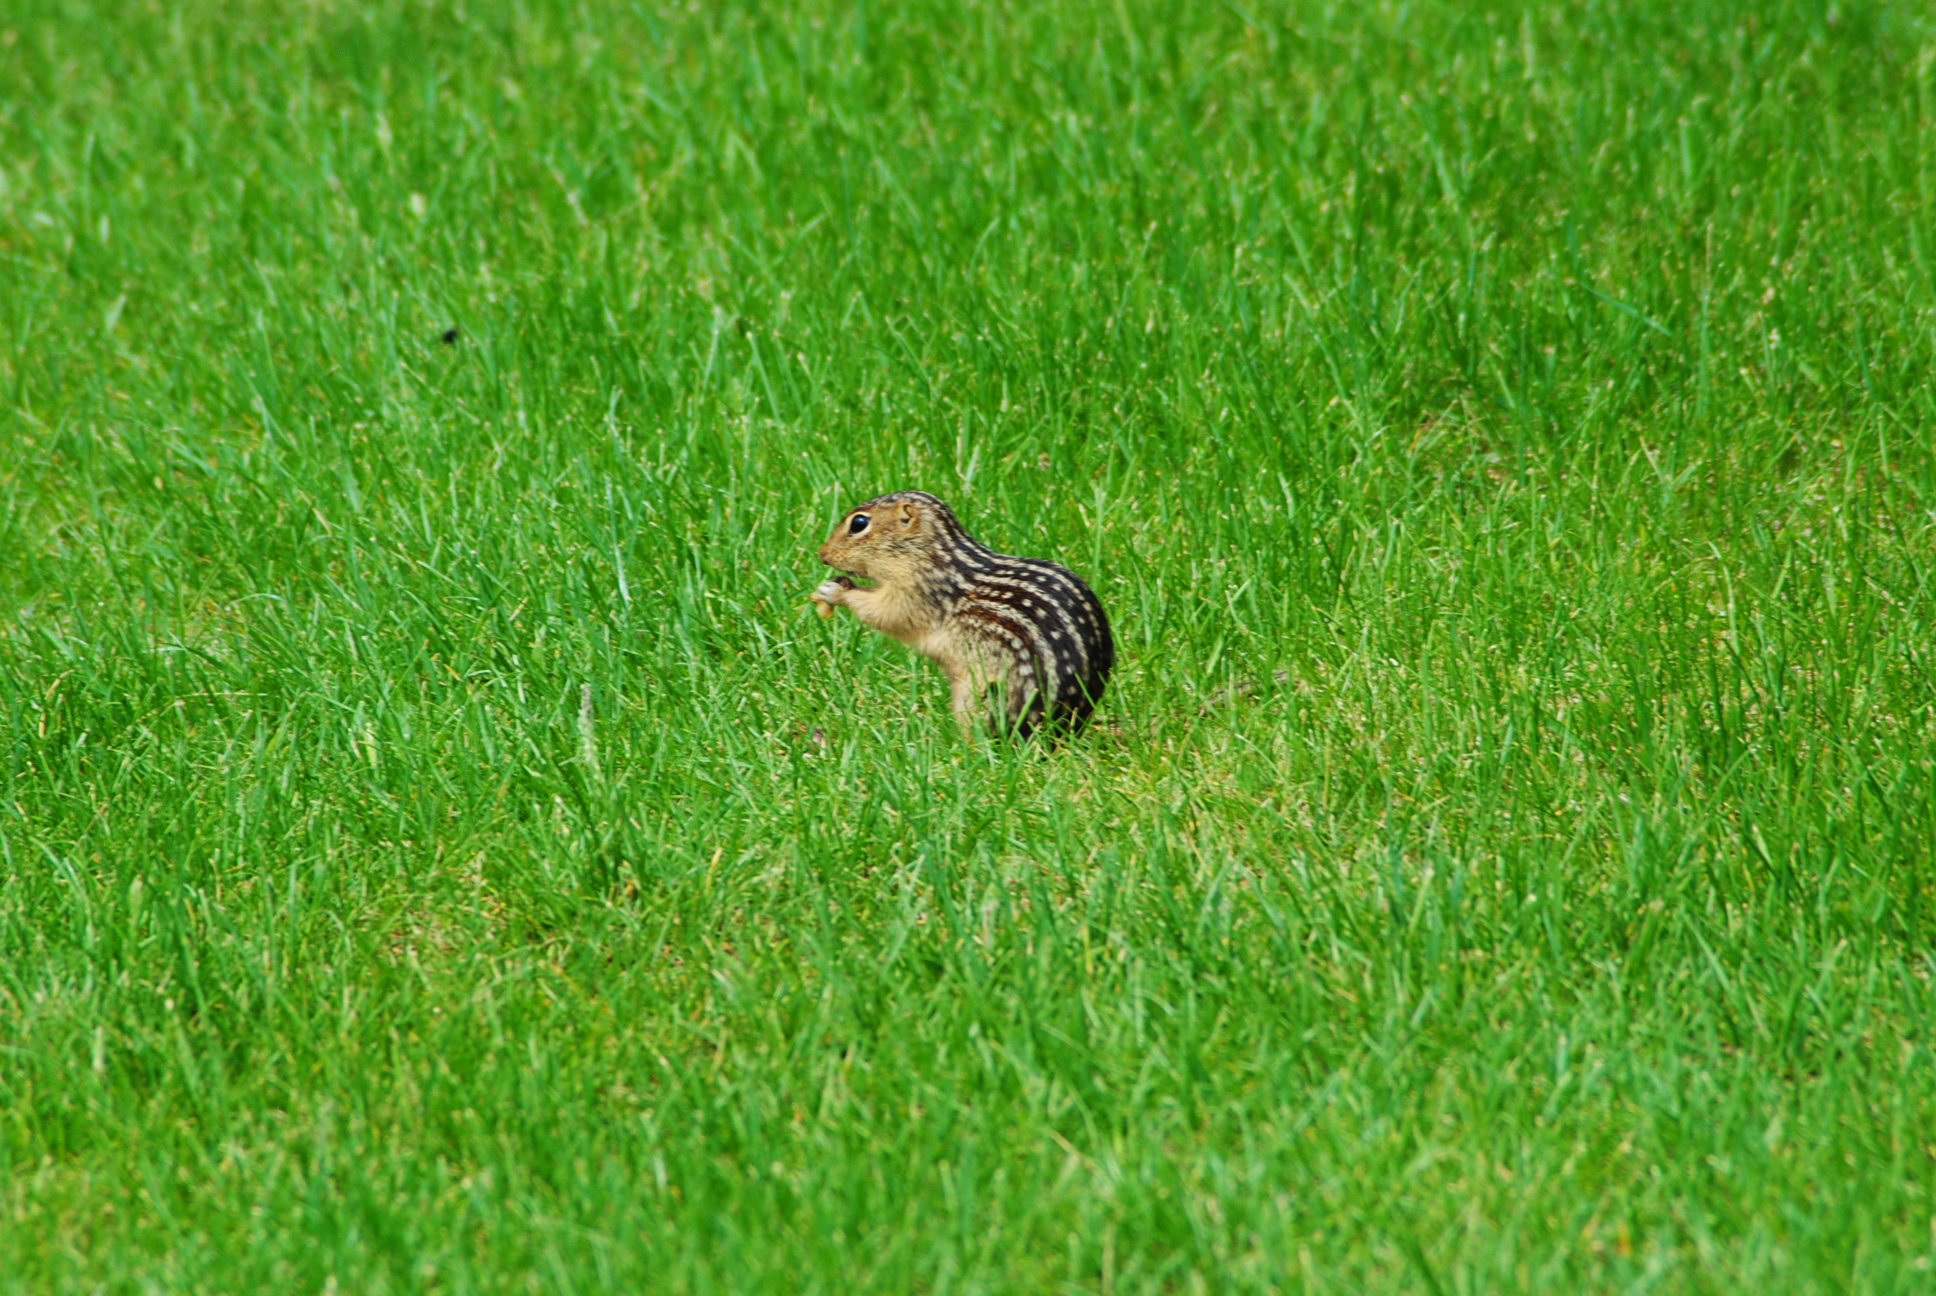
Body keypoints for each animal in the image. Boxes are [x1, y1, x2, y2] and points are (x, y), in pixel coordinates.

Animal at [812, 490, 1114, 740]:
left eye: (859, 524)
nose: (822, 554)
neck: (927, 554)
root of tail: (1062, 731)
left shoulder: (920, 593)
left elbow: (886, 614)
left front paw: (836, 592)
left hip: (983, 696)